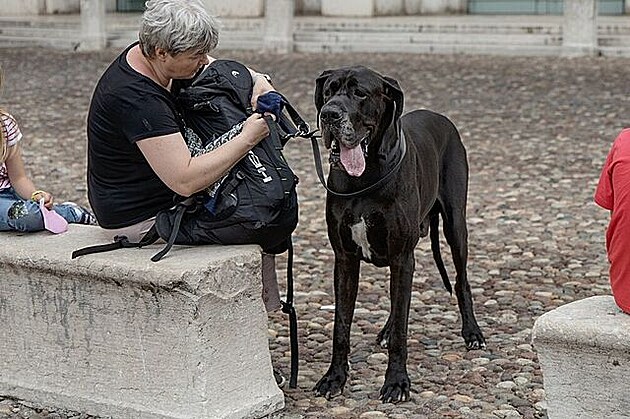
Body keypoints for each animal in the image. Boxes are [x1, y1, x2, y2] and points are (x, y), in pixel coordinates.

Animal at [314, 67, 486, 406]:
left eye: (360, 93)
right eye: (329, 91)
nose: (329, 114)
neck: (365, 177)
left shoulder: (402, 257)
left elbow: (402, 332)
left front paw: (396, 382)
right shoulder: (345, 260)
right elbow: (341, 326)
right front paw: (334, 378)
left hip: (455, 226)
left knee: (461, 281)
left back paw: (472, 333)